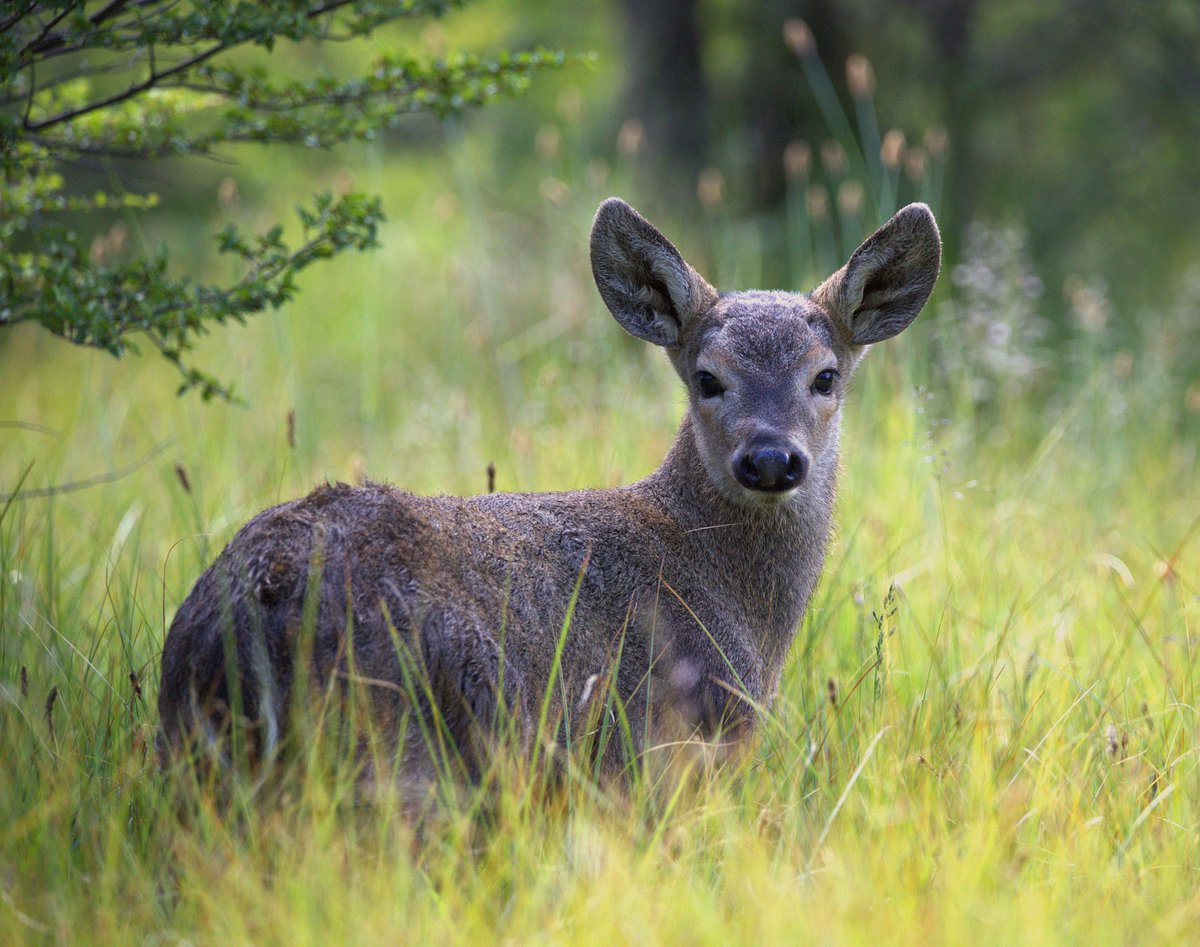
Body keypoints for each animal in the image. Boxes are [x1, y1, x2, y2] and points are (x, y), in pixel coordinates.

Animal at [157, 197, 941, 792]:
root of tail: (248, 607)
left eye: (825, 376)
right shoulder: (654, 754)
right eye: (707, 377)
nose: (772, 459)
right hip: (399, 746)